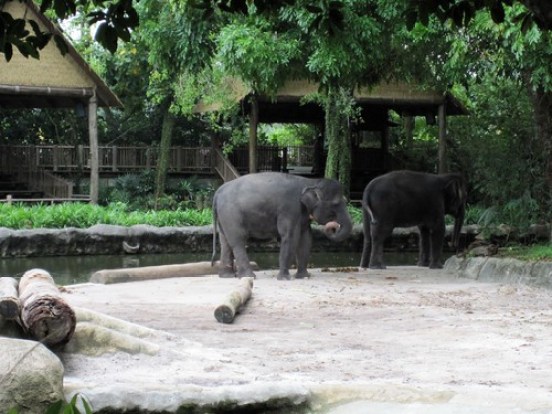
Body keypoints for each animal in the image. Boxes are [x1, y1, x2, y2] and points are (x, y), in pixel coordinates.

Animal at [211, 170, 354, 280]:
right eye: (335, 204)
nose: (333, 227)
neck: (310, 182)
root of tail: (217, 193)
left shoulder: (301, 213)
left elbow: (306, 239)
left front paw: (303, 276)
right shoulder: (289, 208)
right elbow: (290, 236)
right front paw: (285, 278)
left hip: (224, 217)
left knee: (225, 242)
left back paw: (226, 276)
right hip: (231, 214)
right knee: (238, 240)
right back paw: (248, 276)